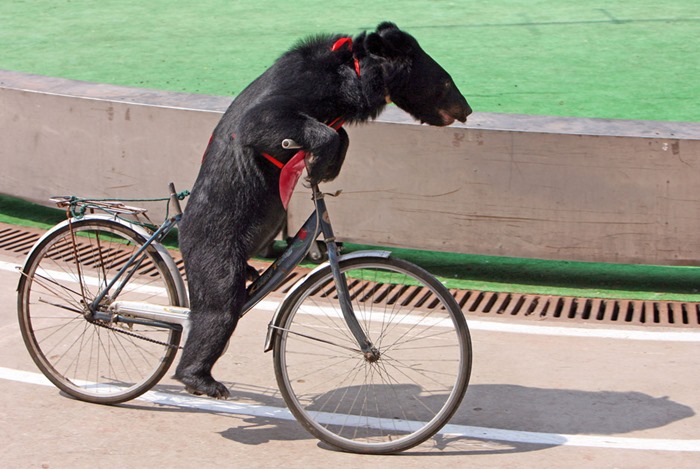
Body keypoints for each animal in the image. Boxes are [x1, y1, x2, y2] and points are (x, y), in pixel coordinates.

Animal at [176, 21, 470, 394]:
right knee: (218, 305)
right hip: (213, 243)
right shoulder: (301, 86)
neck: (352, 77)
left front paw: (326, 165)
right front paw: (318, 165)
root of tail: (182, 224)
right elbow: (262, 119)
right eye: (446, 82)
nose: (467, 110)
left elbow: (341, 135)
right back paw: (200, 378)